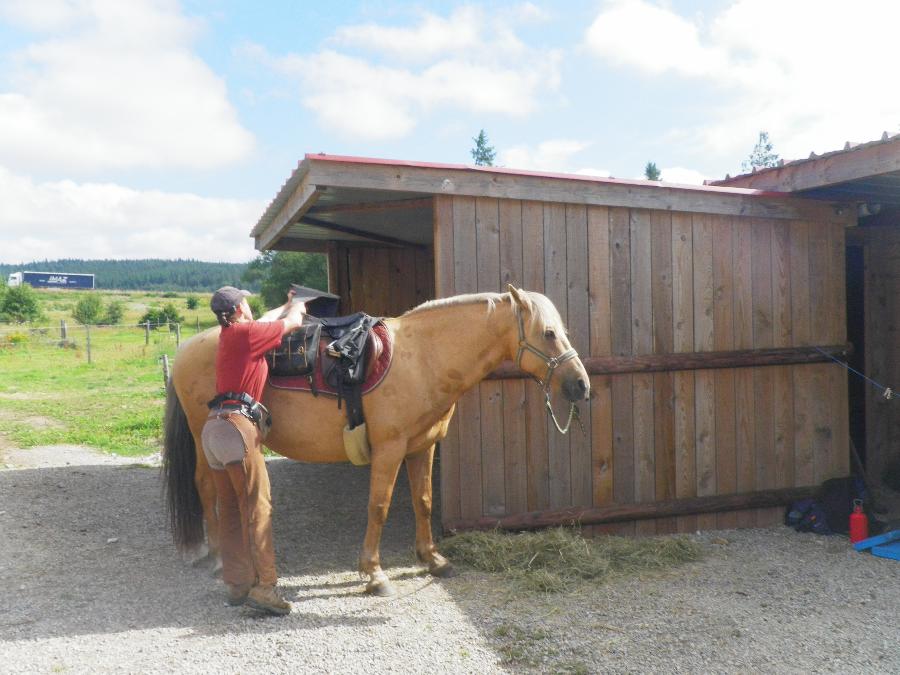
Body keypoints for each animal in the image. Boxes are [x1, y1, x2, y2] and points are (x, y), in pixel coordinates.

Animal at [163, 286, 592, 596]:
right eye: (548, 333)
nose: (581, 385)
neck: (423, 359)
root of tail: (186, 349)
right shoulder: (390, 450)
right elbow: (379, 506)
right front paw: (373, 573)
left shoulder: (422, 447)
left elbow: (424, 501)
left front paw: (432, 559)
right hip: (203, 438)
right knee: (206, 487)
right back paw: (218, 556)